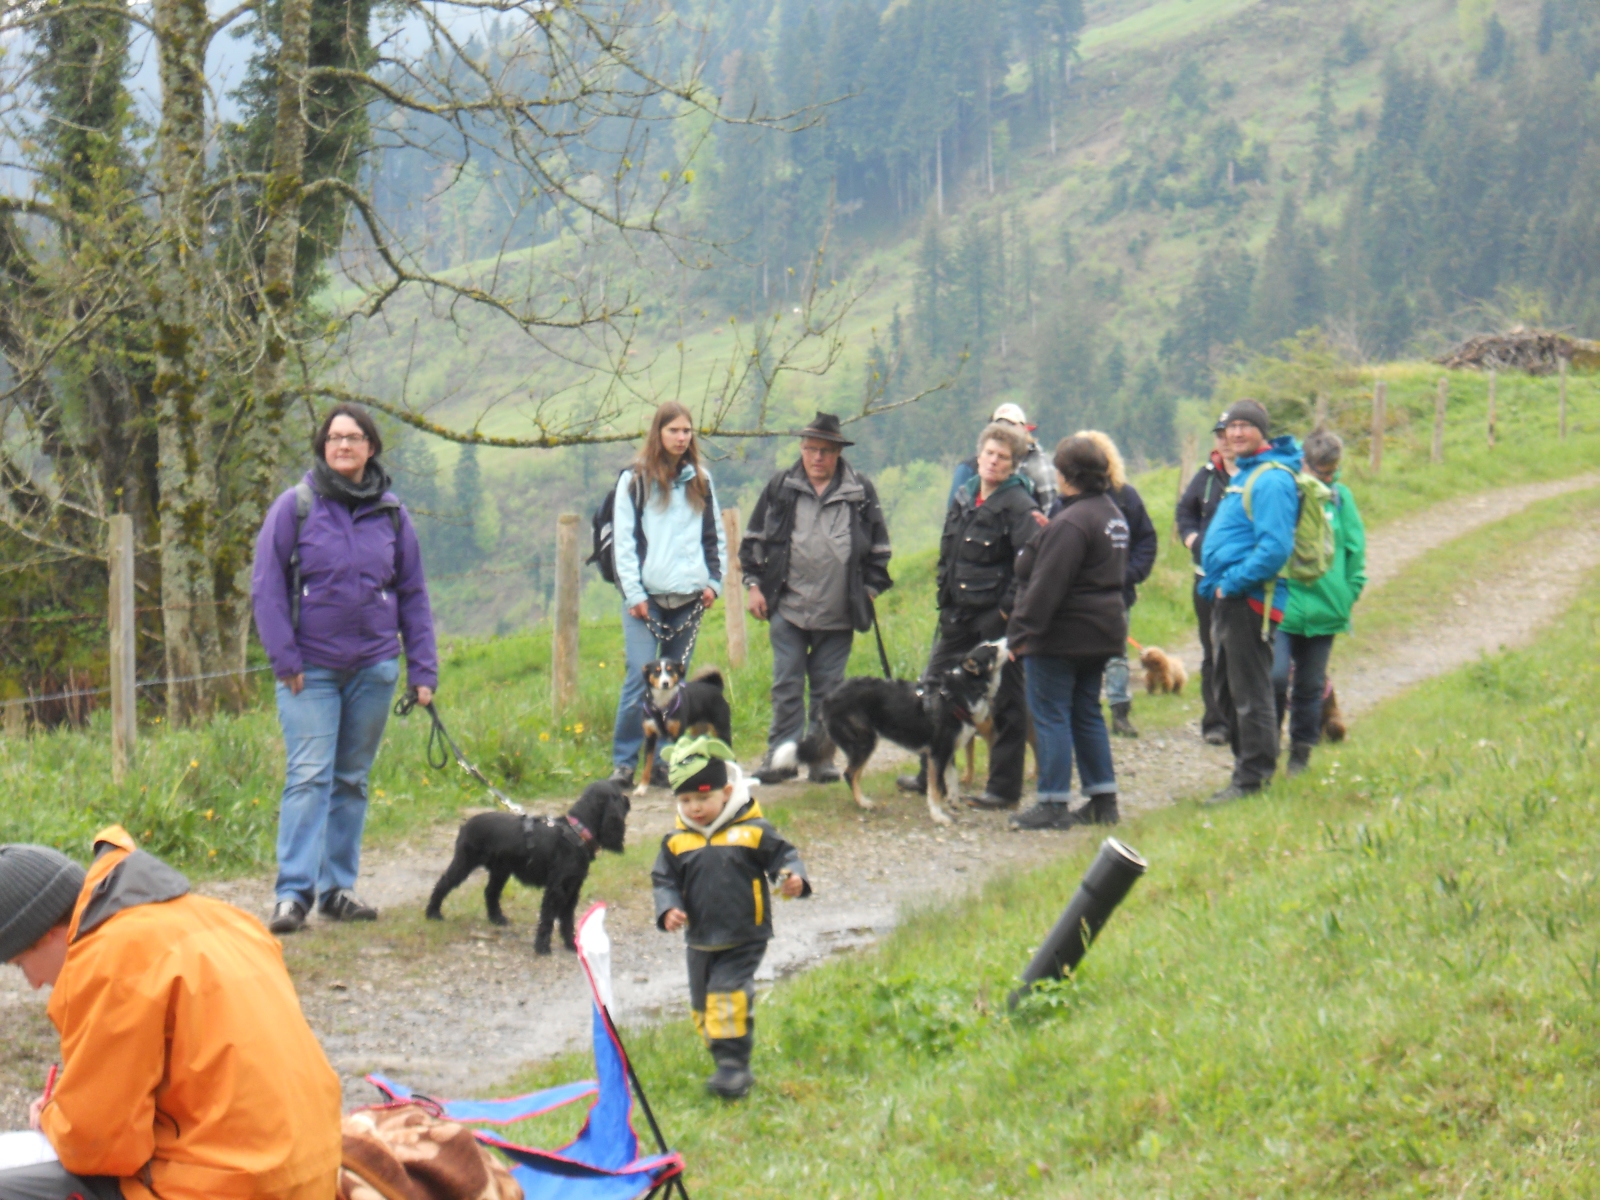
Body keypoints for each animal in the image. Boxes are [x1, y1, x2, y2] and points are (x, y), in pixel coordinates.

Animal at [425, 780, 629, 953]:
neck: (576, 831)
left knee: (490, 892)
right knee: (443, 884)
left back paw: (497, 918)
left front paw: (571, 945)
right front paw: (542, 947)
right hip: (464, 863)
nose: (628, 801)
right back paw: (432, 913)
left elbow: (567, 920)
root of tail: (466, 824)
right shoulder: (556, 889)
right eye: (618, 794)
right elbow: (547, 918)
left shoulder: (573, 888)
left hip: (500, 871)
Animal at [637, 661, 733, 795]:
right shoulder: (650, 738)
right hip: (698, 732)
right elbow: (647, 765)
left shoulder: (677, 737)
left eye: (670, 670)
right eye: (657, 671)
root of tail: (715, 688)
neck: (662, 707)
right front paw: (641, 788)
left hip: (722, 730)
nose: (665, 683)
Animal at [773, 639, 1009, 825]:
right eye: (992, 648)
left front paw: (954, 803)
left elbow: (952, 782)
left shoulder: (947, 752)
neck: (959, 691)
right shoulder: (938, 753)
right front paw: (938, 815)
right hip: (864, 741)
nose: (1007, 639)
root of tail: (829, 698)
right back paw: (864, 803)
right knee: (850, 773)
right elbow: (934, 789)